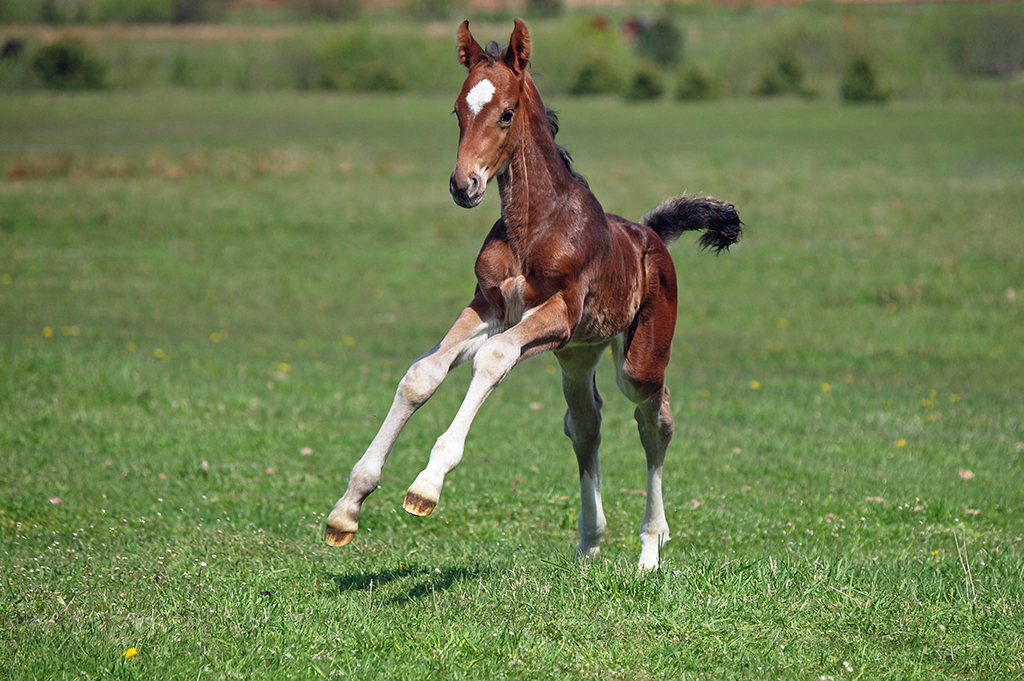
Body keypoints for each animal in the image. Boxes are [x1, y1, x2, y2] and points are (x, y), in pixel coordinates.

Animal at [325, 19, 741, 570]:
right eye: (457, 111)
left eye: (506, 113)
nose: (463, 185)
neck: (535, 224)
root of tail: (652, 233)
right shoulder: (489, 306)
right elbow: (423, 374)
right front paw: (347, 508)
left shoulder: (556, 315)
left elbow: (493, 358)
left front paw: (426, 486)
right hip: (578, 355)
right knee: (586, 423)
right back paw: (588, 543)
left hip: (637, 359)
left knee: (655, 421)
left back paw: (650, 548)